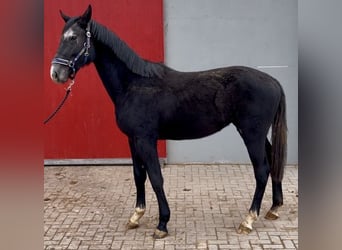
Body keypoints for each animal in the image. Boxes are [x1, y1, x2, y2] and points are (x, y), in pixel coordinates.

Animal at [50, 4, 286, 237]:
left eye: (73, 38)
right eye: (61, 37)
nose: (56, 73)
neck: (133, 83)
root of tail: (273, 81)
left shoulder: (146, 140)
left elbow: (156, 177)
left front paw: (162, 223)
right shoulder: (133, 140)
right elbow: (138, 175)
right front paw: (136, 216)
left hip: (252, 134)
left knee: (262, 170)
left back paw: (248, 220)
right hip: (258, 134)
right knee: (273, 159)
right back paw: (274, 208)